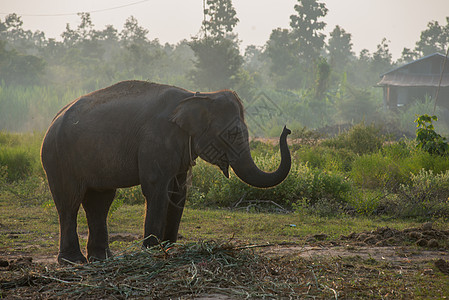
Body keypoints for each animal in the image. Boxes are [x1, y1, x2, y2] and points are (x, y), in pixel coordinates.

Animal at [40, 81, 288, 264]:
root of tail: (52, 122)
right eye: (233, 133)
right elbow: (157, 190)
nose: (287, 129)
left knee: (99, 202)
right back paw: (73, 261)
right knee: (69, 202)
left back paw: (102, 259)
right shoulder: (156, 140)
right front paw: (152, 251)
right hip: (58, 159)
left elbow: (179, 193)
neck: (197, 96)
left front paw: (171, 248)